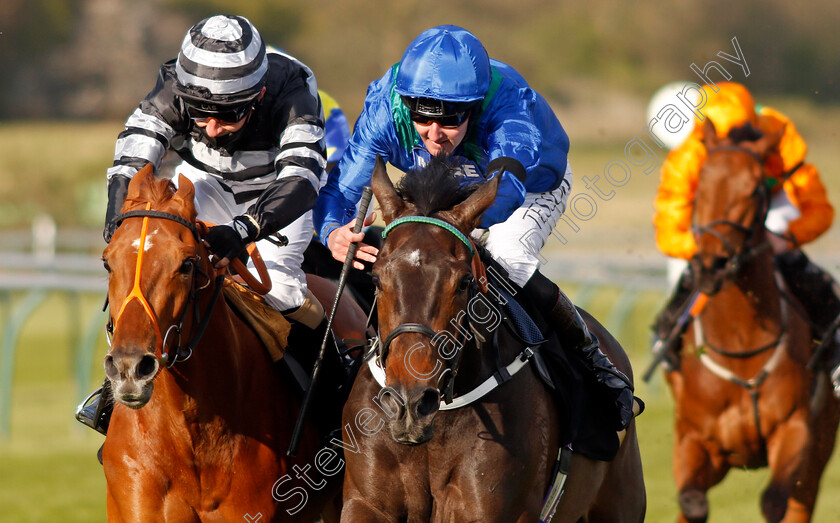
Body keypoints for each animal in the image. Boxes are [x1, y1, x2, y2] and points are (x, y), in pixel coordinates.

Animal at [668, 119, 836, 523]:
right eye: (702, 184)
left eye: (756, 188)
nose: (711, 266)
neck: (739, 344)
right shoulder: (693, 440)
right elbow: (691, 502)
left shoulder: (796, 429)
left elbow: (773, 501)